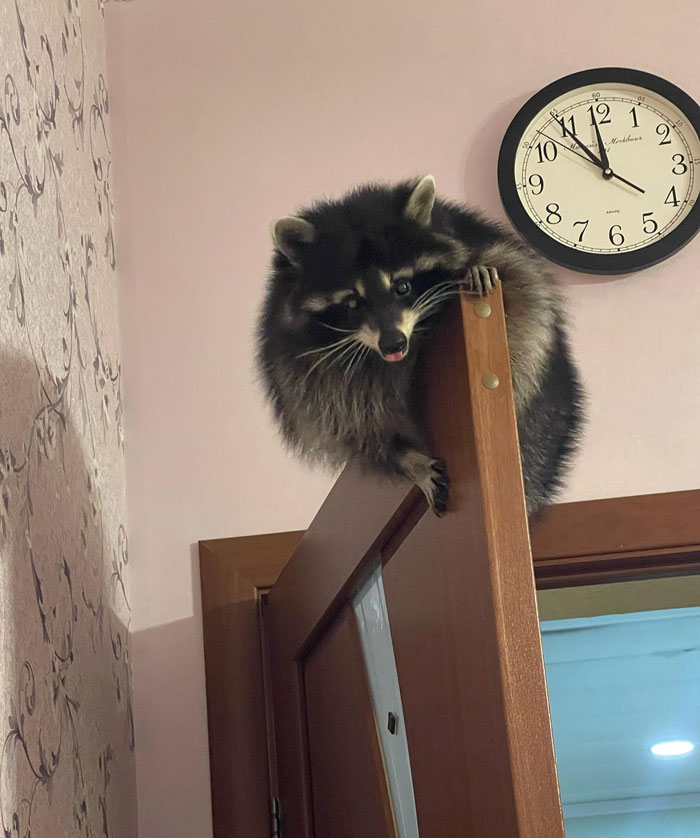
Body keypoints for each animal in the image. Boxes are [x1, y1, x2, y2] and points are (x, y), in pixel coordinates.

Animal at [256, 176, 584, 516]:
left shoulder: (499, 257)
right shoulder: (297, 359)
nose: (393, 343)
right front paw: (403, 456)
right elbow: (345, 419)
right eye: (352, 303)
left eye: (402, 287)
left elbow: (524, 301)